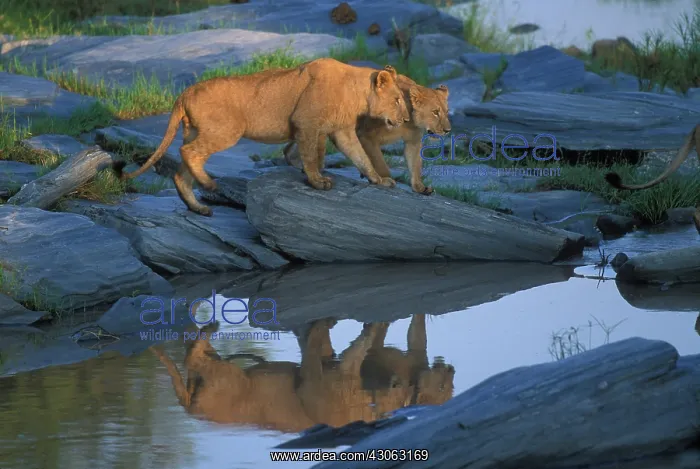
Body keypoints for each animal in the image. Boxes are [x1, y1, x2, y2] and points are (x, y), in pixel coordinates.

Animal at [112, 58, 410, 216]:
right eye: (397, 100)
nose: (407, 119)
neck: (357, 93)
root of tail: (184, 92)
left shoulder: (341, 131)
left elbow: (361, 158)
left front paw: (380, 180)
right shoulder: (306, 124)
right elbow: (311, 156)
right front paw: (317, 182)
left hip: (193, 131)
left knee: (180, 171)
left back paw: (198, 207)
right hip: (227, 130)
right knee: (189, 153)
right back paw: (209, 185)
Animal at [283, 74, 451, 195]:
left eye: (446, 112)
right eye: (435, 112)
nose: (448, 130)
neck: (410, 120)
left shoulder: (413, 141)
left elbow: (415, 165)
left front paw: (420, 188)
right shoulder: (367, 136)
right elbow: (380, 164)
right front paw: (384, 180)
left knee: (291, 146)